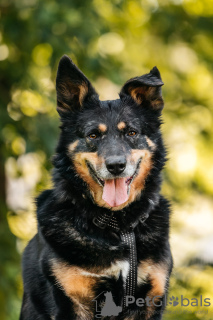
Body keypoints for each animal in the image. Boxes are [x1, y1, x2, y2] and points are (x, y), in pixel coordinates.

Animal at [20, 56, 173, 318]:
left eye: (131, 132)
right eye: (93, 135)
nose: (116, 166)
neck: (118, 225)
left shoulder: (150, 299)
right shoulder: (73, 300)